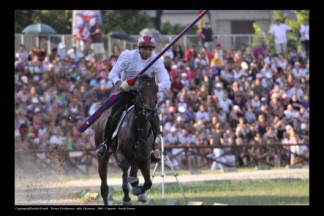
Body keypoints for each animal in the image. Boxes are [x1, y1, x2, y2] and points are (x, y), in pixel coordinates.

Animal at [93, 75, 159, 205]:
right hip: (102, 157)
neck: (138, 129)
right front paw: (127, 198)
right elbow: (124, 174)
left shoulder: (144, 159)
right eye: (141, 91)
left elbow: (148, 183)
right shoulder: (120, 155)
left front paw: (138, 191)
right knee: (104, 188)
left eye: (156, 90)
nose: (151, 111)